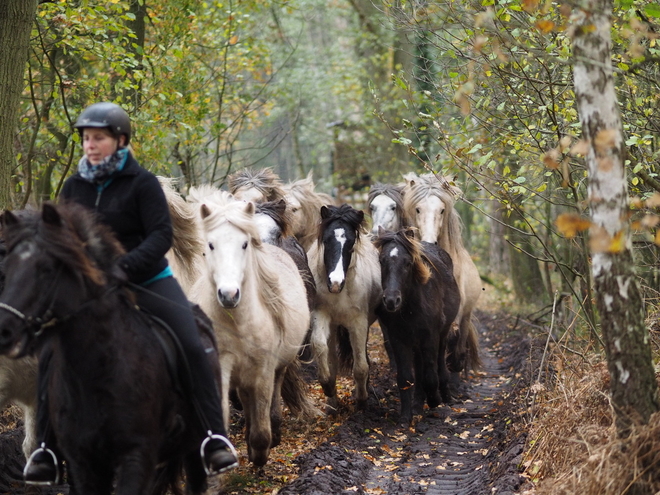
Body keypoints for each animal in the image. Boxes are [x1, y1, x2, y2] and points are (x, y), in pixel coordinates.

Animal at [188, 191, 312, 468]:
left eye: (245, 244)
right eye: (210, 245)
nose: (229, 294)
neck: (238, 323)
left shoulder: (263, 369)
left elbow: (264, 414)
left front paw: (261, 452)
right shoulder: (223, 365)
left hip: (277, 365)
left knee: (273, 395)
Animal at [306, 203, 378, 412]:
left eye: (351, 244)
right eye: (326, 240)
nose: (335, 283)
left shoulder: (359, 322)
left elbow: (361, 366)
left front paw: (362, 400)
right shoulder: (321, 314)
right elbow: (319, 346)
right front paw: (328, 387)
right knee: (332, 357)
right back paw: (332, 404)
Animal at [374, 229, 462, 426]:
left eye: (408, 262)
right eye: (382, 260)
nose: (391, 300)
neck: (411, 307)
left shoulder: (430, 337)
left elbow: (429, 376)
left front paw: (434, 400)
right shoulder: (399, 339)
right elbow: (406, 377)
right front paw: (406, 416)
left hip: (440, 335)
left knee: (438, 364)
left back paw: (445, 396)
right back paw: (417, 405)